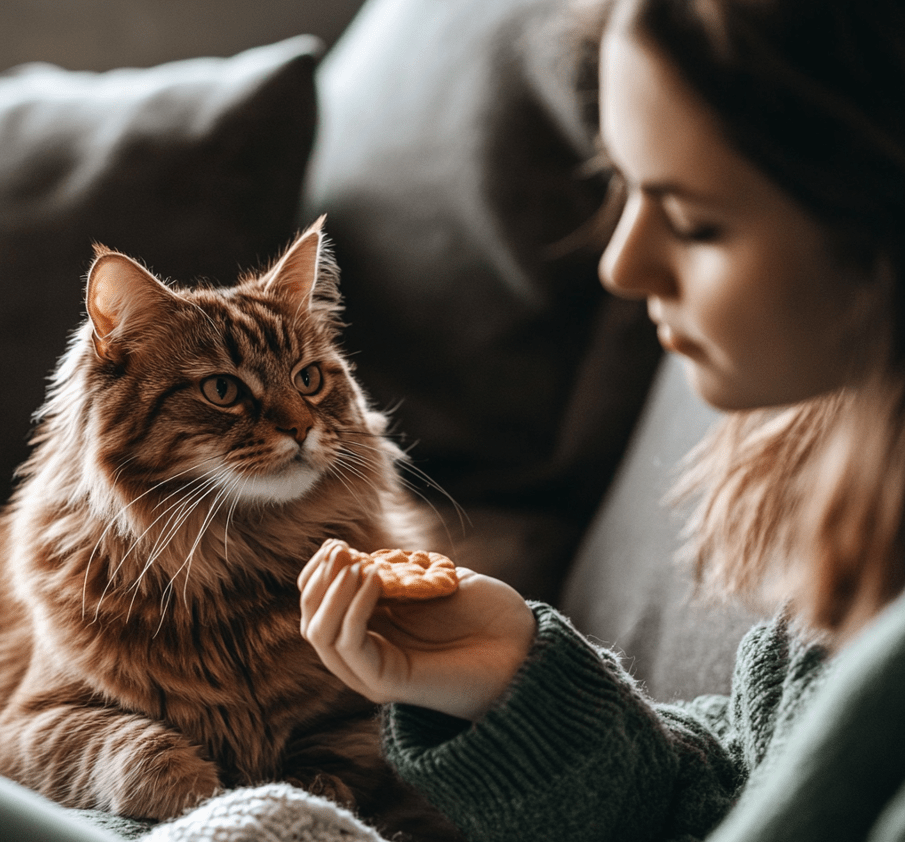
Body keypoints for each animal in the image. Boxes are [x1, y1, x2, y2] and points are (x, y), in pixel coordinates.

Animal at [0, 218, 460, 840]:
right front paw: (207, 793)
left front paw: (303, 795)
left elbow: (340, 760)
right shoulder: (30, 720)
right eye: (223, 390)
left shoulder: (362, 715)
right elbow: (130, 745)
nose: (302, 428)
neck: (232, 556)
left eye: (308, 379)